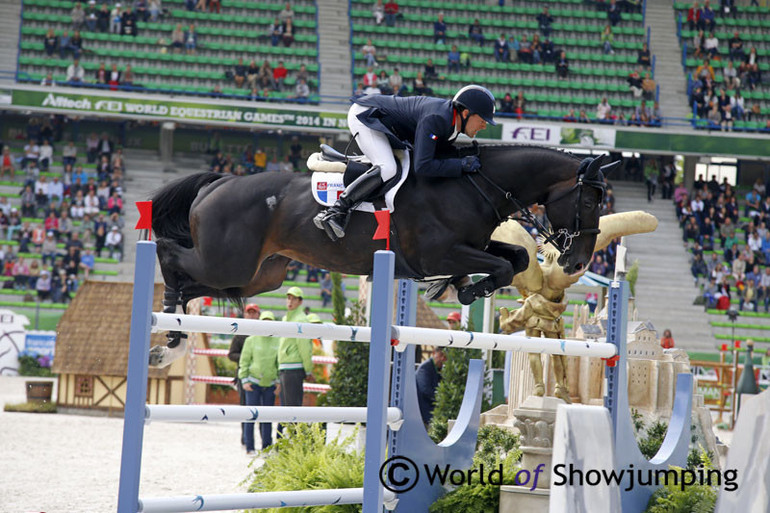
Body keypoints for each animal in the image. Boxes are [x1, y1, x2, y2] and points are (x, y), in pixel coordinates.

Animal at [148, 145, 608, 364]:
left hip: (262, 274)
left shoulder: (470, 247)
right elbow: (501, 265)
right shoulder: (440, 254)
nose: (578, 263)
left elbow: (515, 259)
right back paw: (167, 327)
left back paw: (173, 338)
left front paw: (460, 289)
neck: (472, 183)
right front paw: (463, 291)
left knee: (196, 284)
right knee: (171, 257)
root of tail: (219, 182)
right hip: (229, 261)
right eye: (590, 201)